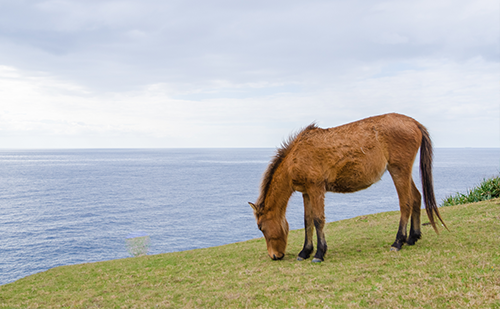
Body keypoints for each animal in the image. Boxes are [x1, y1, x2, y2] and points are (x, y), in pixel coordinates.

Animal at [248, 113, 448, 262]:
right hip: (403, 171)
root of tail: (414, 123)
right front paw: (305, 251)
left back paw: (398, 242)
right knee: (416, 197)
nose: (275, 256)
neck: (295, 156)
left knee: (405, 203)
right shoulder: (306, 192)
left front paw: (319, 253)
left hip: (399, 170)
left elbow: (318, 220)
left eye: (260, 227)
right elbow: (307, 222)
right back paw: (413, 238)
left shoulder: (316, 188)